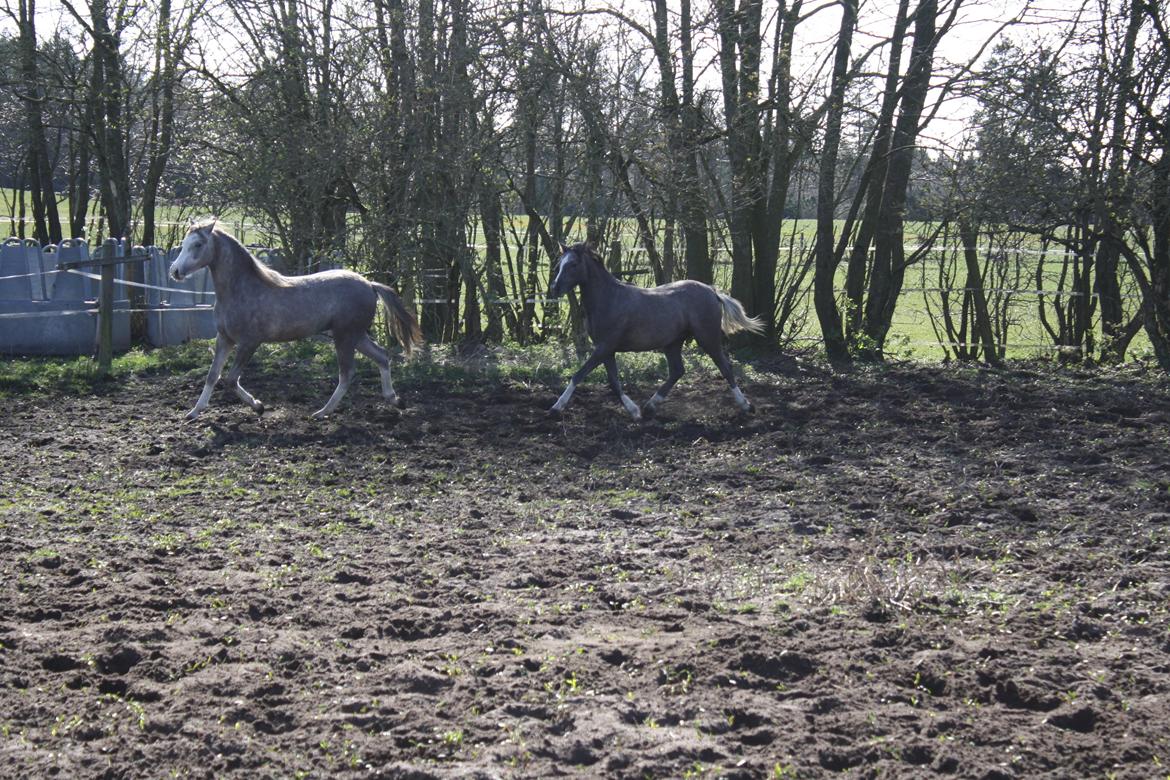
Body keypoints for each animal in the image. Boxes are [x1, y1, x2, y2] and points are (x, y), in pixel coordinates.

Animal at [164, 219, 421, 420]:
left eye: (198, 244)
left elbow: (230, 379)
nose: (174, 271)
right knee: (382, 357)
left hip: (345, 337)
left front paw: (259, 406)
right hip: (355, 336)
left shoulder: (249, 342)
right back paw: (395, 401)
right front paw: (193, 412)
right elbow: (212, 376)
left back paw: (322, 412)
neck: (241, 289)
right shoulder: (224, 339)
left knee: (347, 373)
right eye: (184, 244)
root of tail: (370, 284)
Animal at [549, 242, 767, 420]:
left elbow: (578, 375)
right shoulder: (606, 350)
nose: (555, 288)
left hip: (708, 338)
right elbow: (614, 382)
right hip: (673, 343)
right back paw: (650, 406)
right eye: (560, 264)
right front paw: (635, 412)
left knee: (725, 367)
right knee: (677, 370)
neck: (608, 298)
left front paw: (556, 408)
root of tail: (712, 291)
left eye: (573, 264)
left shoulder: (605, 347)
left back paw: (746, 406)